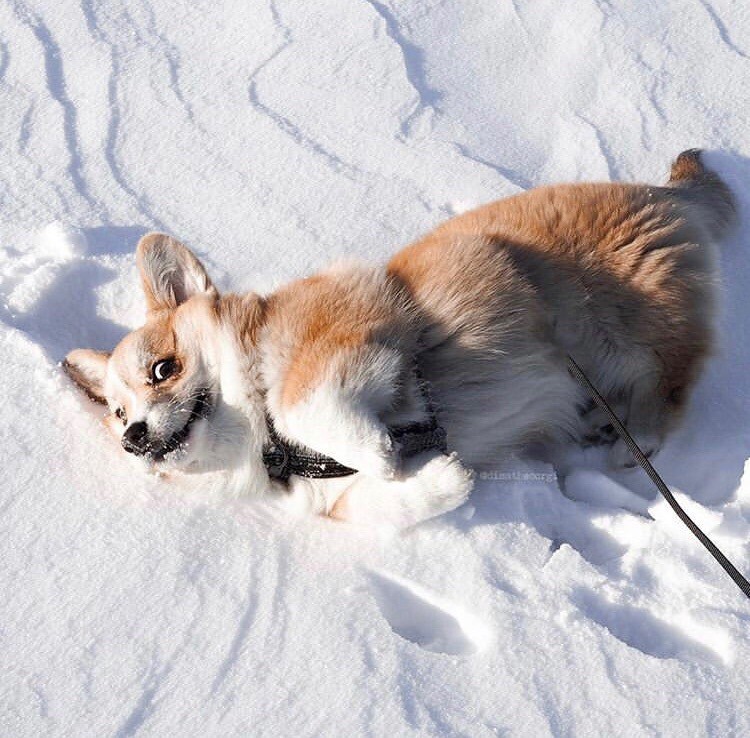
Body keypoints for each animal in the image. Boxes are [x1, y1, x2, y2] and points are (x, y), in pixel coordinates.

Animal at [63, 150, 736, 528]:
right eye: (116, 412)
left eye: (163, 369)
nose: (133, 437)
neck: (265, 443)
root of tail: (667, 193)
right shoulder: (333, 497)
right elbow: (364, 508)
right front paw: (442, 478)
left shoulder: (341, 342)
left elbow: (303, 402)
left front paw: (383, 454)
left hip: (629, 325)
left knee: (671, 381)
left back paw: (631, 443)